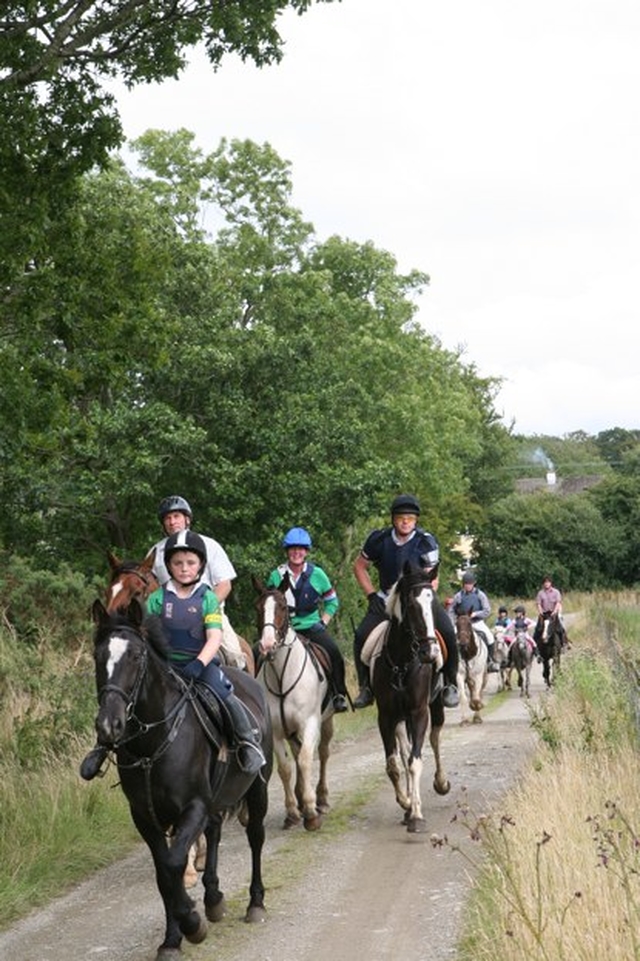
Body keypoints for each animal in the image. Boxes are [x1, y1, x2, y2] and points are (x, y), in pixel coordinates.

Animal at [254, 576, 336, 832]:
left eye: (282, 606)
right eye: (258, 608)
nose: (267, 645)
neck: (282, 675)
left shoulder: (309, 723)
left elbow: (307, 760)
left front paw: (310, 811)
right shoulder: (278, 731)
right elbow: (286, 767)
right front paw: (292, 812)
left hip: (327, 721)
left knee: (323, 753)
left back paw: (321, 798)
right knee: (298, 754)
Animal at [370, 564, 450, 832]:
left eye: (433, 603)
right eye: (412, 606)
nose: (430, 652)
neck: (402, 662)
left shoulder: (418, 712)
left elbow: (416, 761)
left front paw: (416, 815)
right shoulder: (386, 717)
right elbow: (394, 765)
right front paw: (406, 803)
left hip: (435, 706)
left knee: (434, 739)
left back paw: (440, 783)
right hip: (400, 719)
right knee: (404, 754)